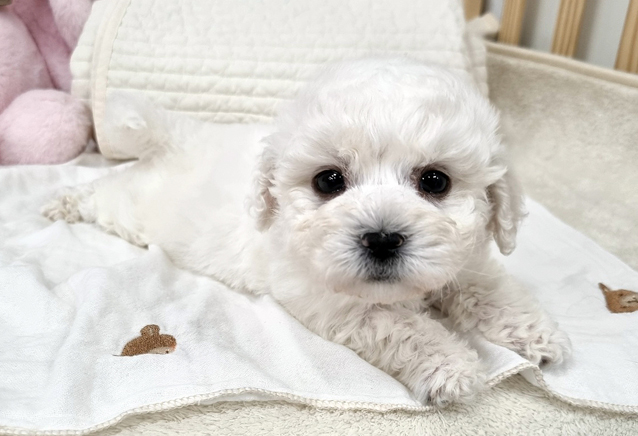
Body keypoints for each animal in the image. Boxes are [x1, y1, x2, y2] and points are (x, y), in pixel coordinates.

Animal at [43, 58, 570, 405]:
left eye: (436, 181)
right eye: (328, 181)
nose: (382, 239)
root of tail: (181, 136)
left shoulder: (464, 260)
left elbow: (489, 288)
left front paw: (537, 335)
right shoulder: (336, 299)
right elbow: (404, 328)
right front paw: (451, 367)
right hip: (135, 208)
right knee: (104, 192)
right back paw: (62, 202)